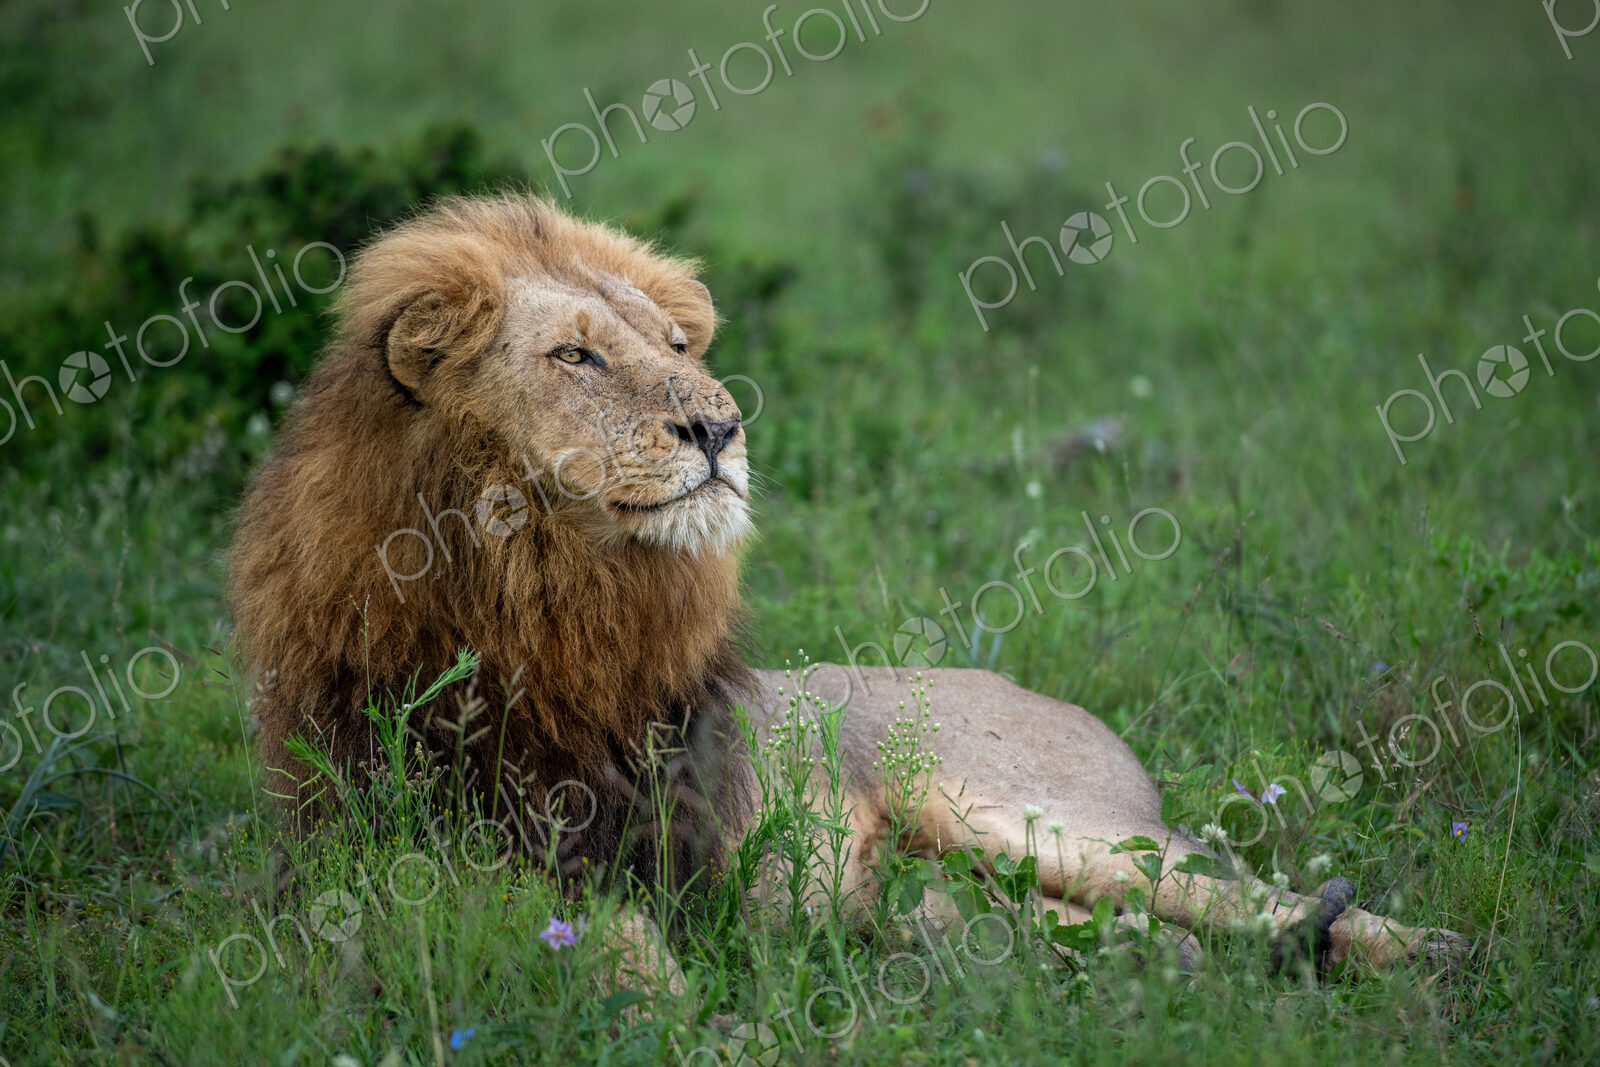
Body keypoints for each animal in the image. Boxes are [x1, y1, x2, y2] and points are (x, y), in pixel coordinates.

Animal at [227, 193, 1466, 981]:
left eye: (677, 342)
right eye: (574, 355)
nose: (720, 424)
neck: (540, 600)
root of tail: (1079, 710)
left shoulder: (659, 841)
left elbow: (615, 940)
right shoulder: (369, 853)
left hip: (1038, 820)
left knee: (1243, 894)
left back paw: (1436, 957)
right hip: (946, 892)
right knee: (1097, 934)